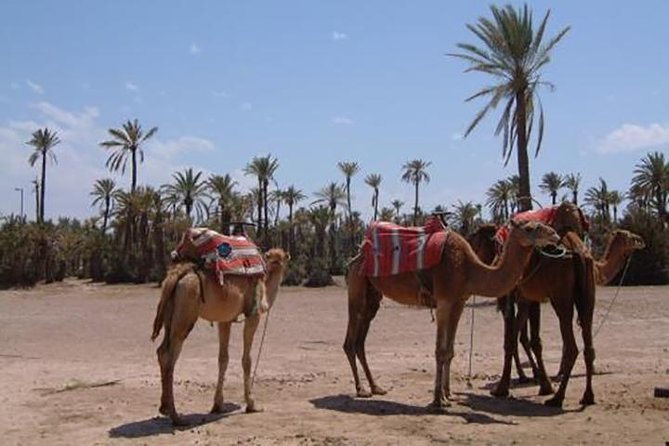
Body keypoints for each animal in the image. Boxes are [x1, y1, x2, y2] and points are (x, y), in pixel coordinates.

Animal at [151, 247, 290, 425]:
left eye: (281, 259)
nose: (278, 266)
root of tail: (177, 275)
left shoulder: (225, 320)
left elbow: (223, 358)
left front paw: (218, 405)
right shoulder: (253, 315)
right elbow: (247, 360)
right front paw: (252, 404)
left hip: (170, 311)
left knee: (162, 351)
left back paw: (165, 408)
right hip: (186, 311)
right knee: (170, 355)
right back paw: (177, 417)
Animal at [344, 219, 559, 410]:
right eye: (530, 228)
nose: (555, 235)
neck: (469, 269)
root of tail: (358, 253)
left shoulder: (459, 303)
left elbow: (450, 351)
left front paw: (448, 395)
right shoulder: (444, 301)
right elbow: (440, 351)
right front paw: (437, 401)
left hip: (372, 295)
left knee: (360, 340)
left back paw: (375, 387)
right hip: (357, 286)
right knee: (350, 340)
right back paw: (361, 389)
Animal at [469, 227, 645, 407]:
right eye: (630, 237)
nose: (641, 241)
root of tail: (578, 252)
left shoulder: (519, 297)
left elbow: (516, 340)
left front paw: (506, 387)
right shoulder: (527, 298)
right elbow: (524, 339)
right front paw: (541, 383)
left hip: (560, 297)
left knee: (569, 345)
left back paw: (556, 396)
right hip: (585, 298)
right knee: (586, 345)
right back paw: (584, 396)